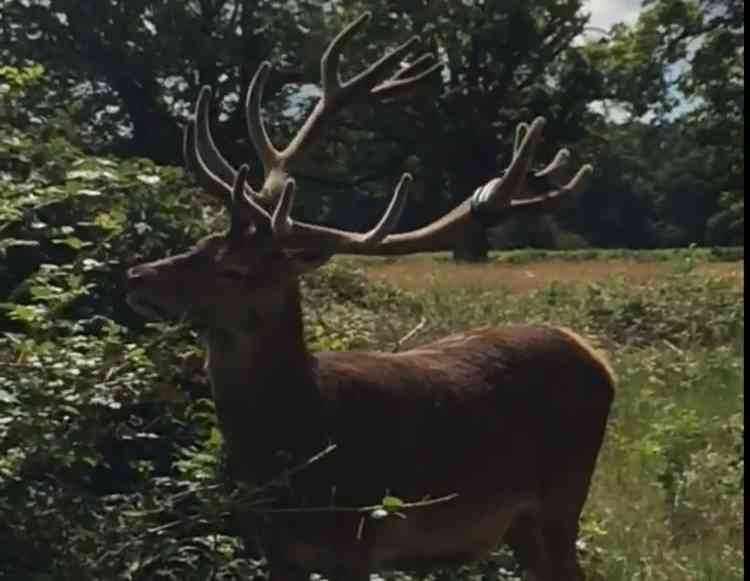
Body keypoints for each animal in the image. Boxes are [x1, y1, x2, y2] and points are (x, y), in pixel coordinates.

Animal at [125, 12, 616, 580]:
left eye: (236, 270)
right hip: (522, 522)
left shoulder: (359, 539)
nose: (136, 275)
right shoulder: (274, 549)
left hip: (563, 495)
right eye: (201, 243)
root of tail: (596, 355)